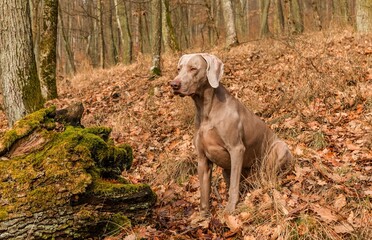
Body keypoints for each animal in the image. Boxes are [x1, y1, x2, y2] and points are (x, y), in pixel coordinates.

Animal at [169, 53, 294, 215]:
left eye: (193, 68)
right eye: (179, 69)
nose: (173, 84)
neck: (206, 111)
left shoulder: (236, 149)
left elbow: (234, 186)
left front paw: (230, 209)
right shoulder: (202, 159)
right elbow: (204, 191)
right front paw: (203, 215)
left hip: (279, 148)